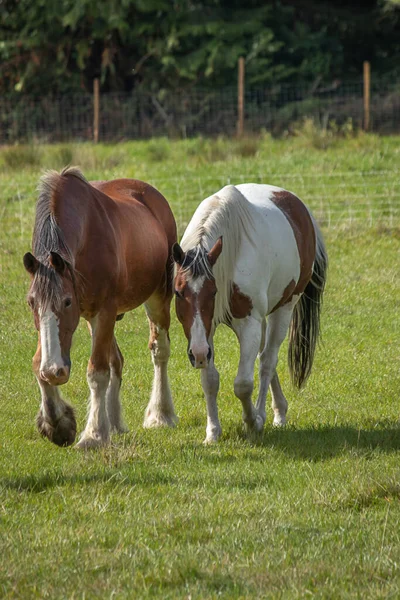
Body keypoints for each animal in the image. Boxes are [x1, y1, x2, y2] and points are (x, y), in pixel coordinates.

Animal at [23, 166, 177, 448]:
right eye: (31, 303)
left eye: (67, 301)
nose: (55, 371)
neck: (86, 236)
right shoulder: (88, 317)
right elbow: (38, 364)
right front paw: (57, 423)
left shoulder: (104, 311)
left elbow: (97, 372)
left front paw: (93, 435)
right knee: (117, 360)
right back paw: (113, 423)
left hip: (157, 297)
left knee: (159, 351)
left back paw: (160, 415)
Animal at [173, 180, 326, 442]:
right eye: (178, 292)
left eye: (213, 292)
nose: (198, 354)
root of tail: (298, 204)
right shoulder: (206, 330)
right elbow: (210, 381)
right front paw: (212, 432)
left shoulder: (248, 325)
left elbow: (243, 383)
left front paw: (252, 422)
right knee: (264, 358)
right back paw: (279, 411)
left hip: (284, 309)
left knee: (267, 361)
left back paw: (265, 415)